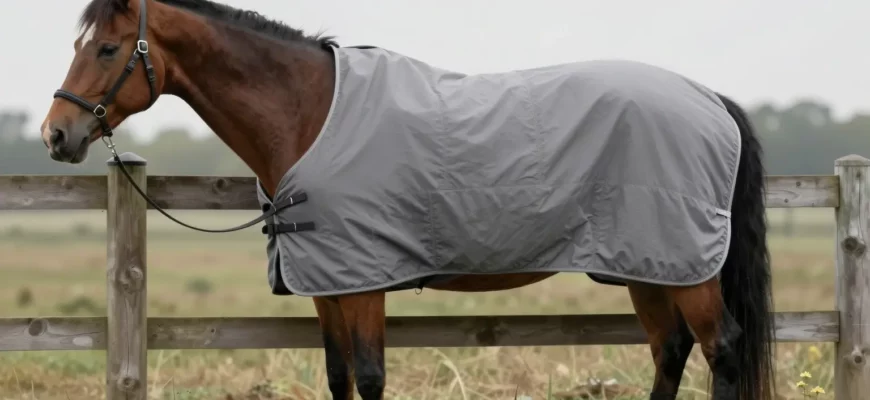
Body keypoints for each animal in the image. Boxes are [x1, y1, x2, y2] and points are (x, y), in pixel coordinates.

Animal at [39, 1, 775, 399]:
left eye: (107, 48)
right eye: (77, 43)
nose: (56, 134)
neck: (310, 115)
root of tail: (711, 100)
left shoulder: (365, 282)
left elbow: (370, 376)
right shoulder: (328, 285)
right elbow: (339, 377)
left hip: (687, 269)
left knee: (722, 349)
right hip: (647, 266)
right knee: (670, 351)